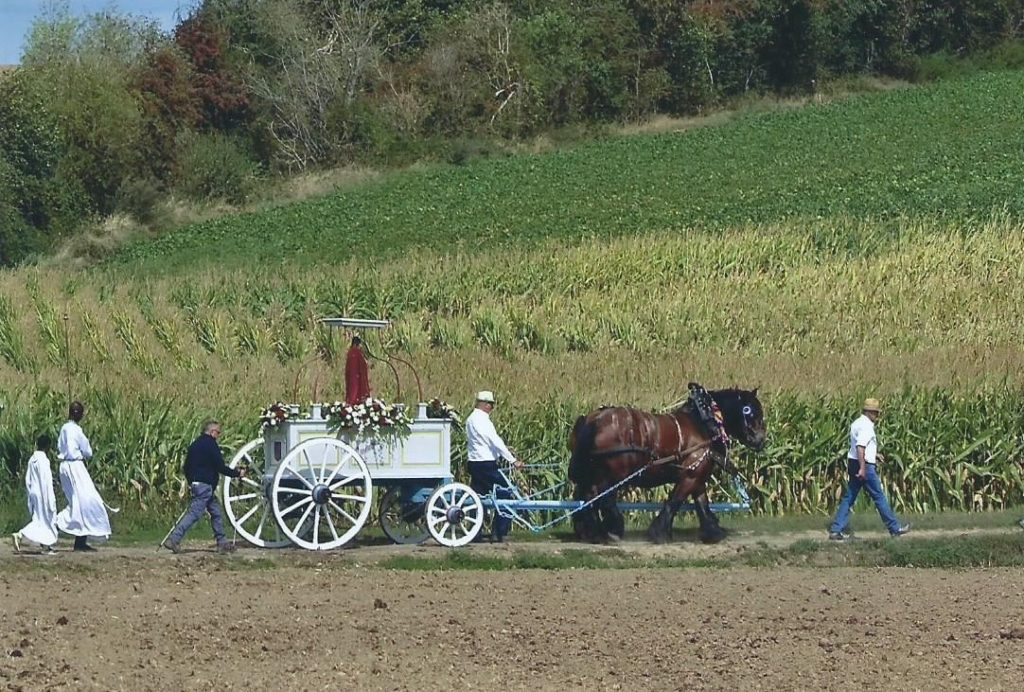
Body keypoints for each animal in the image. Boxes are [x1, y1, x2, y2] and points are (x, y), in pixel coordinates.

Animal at [569, 386, 770, 544]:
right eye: (749, 410)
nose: (760, 440)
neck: (704, 423)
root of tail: (592, 420)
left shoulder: (698, 475)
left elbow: (702, 504)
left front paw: (714, 532)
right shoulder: (689, 476)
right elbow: (674, 501)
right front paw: (659, 533)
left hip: (593, 473)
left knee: (587, 496)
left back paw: (590, 531)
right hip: (614, 473)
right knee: (602, 497)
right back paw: (611, 530)